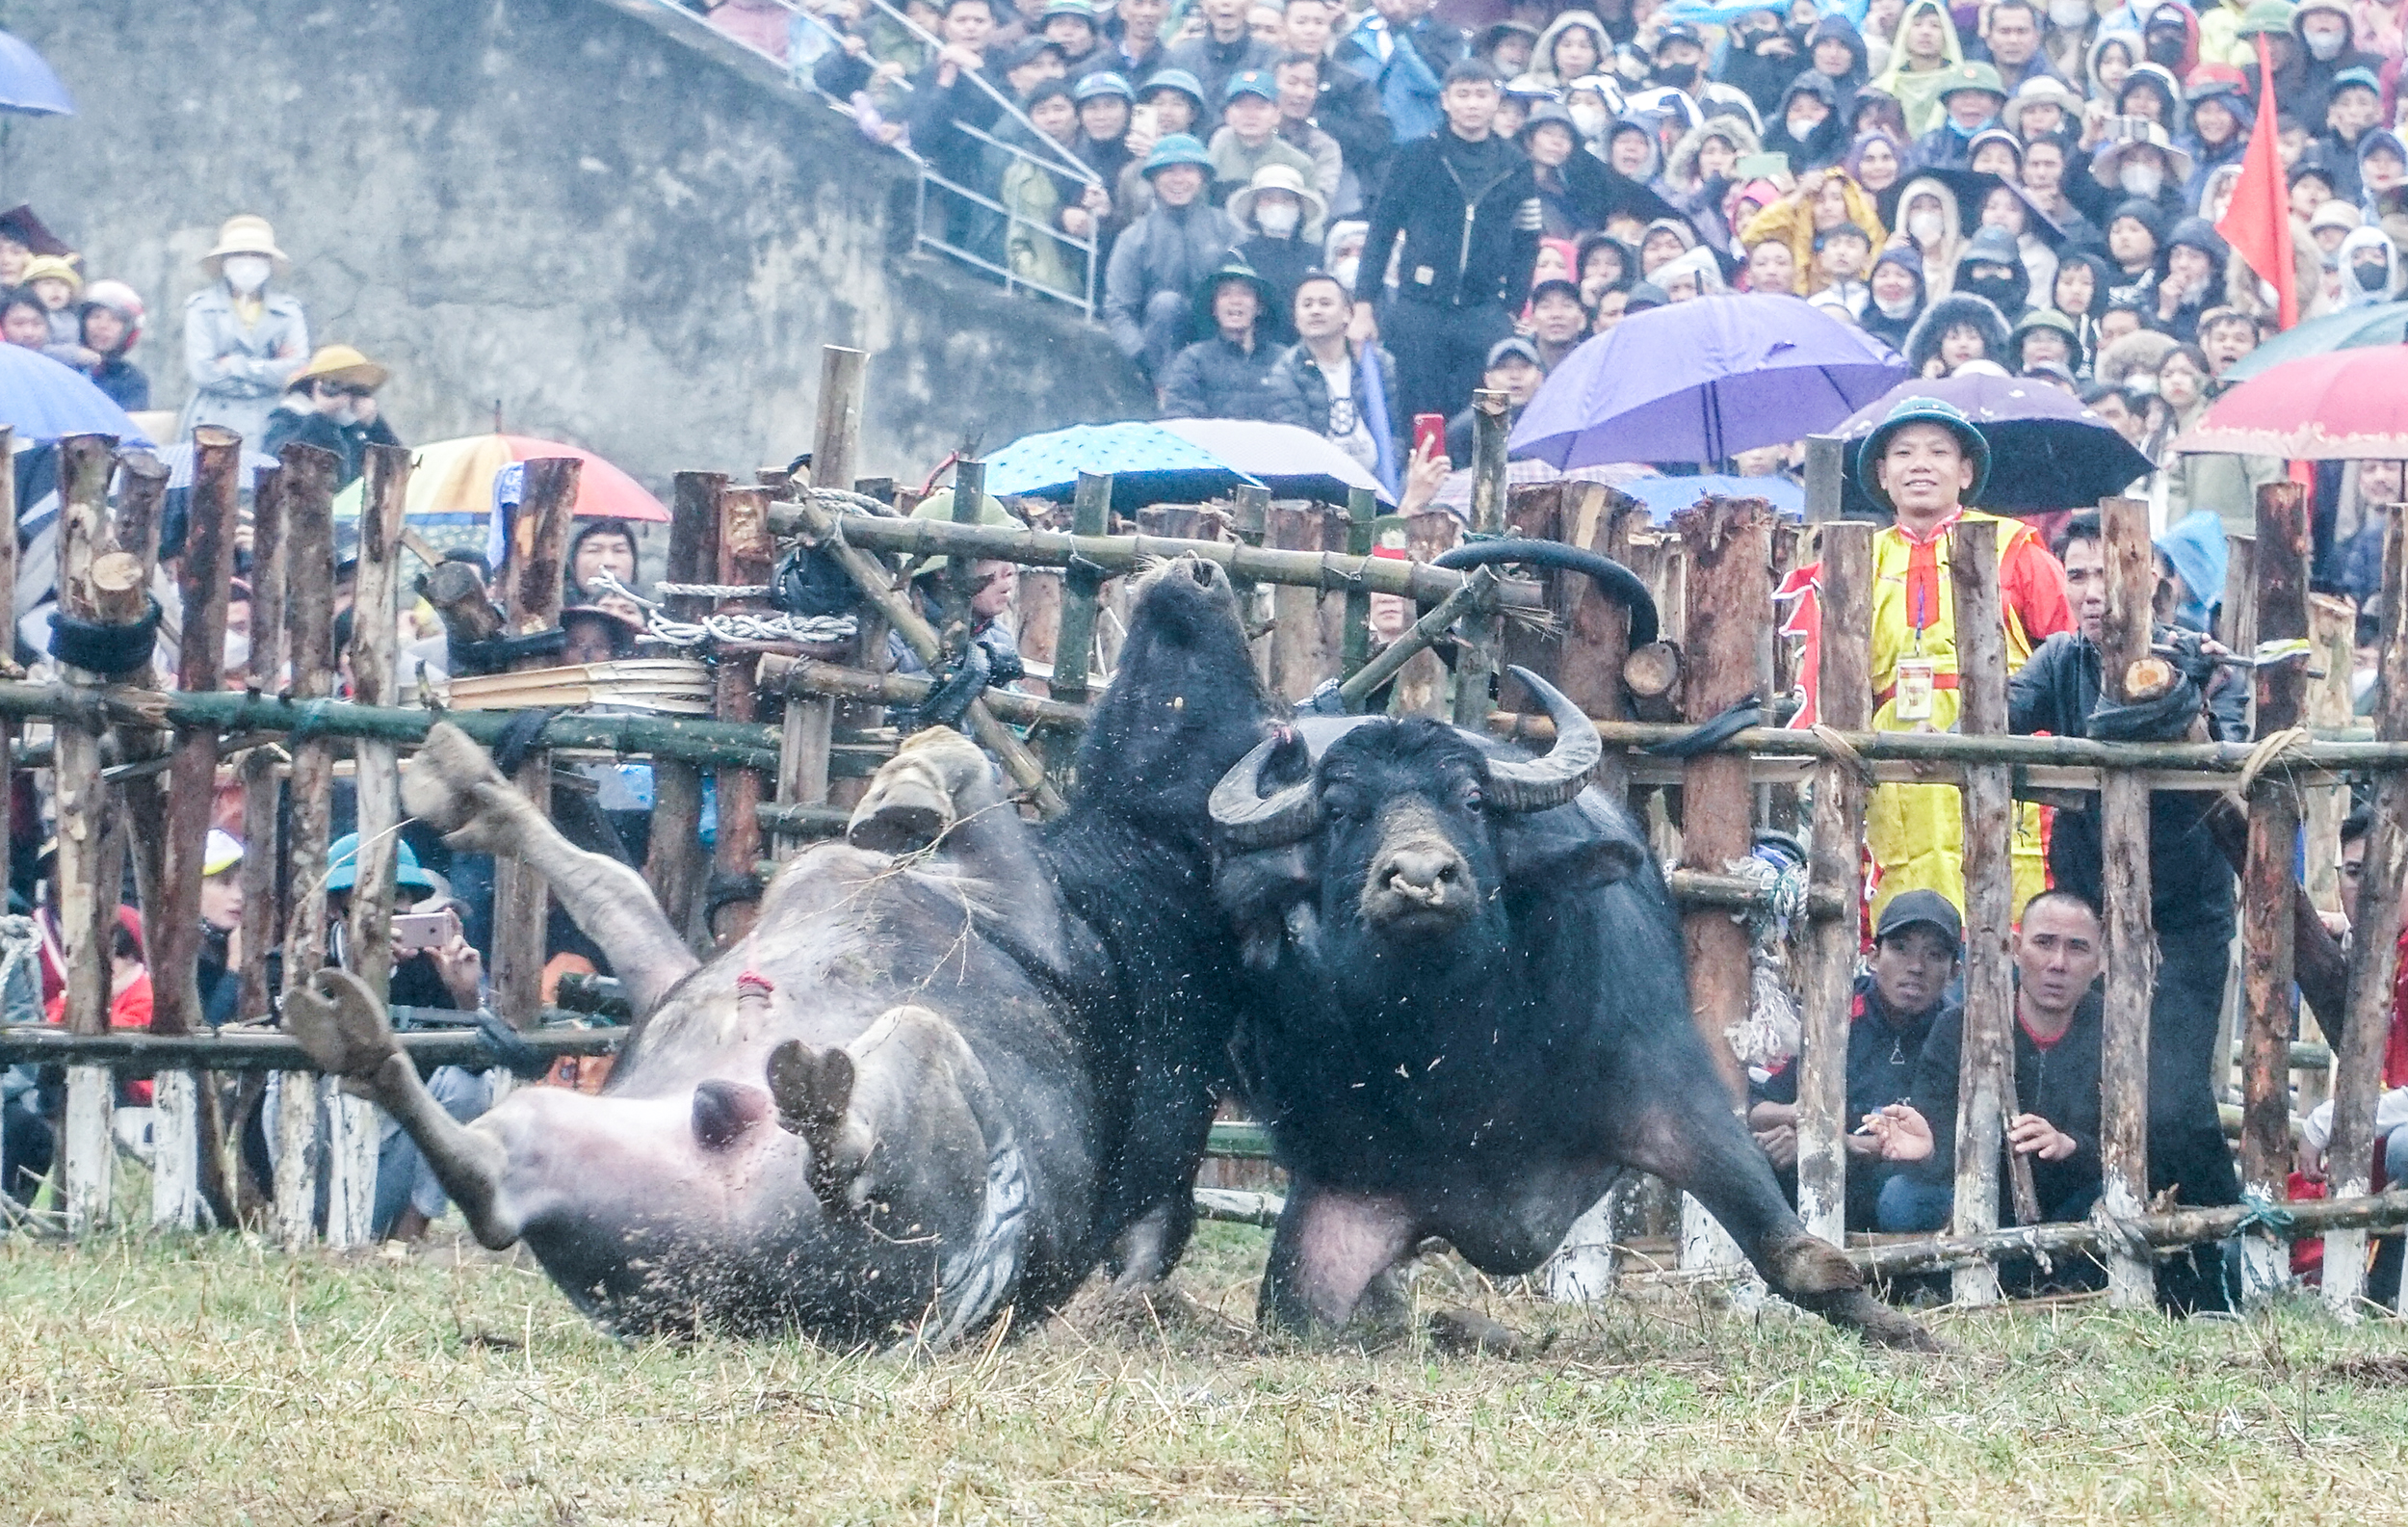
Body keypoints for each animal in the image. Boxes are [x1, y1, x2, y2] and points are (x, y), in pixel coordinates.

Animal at [289, 554, 1271, 1339]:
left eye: (1263, 717)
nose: (1201, 570)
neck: (1138, 871)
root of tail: (753, 1294)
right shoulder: (674, 969)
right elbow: (608, 881)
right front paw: (463, 779)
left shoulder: (1033, 905)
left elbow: (960, 756)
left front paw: (903, 792)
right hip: (576, 1152)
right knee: (493, 1192)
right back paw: (357, 1039)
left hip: (916, 1062)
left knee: (855, 1157)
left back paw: (826, 1107)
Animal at [1214, 665, 1926, 1339]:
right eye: (1339, 812)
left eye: (1472, 800)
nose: (1418, 877)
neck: (1460, 1053)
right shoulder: (1346, 1187)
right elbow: (1291, 1309)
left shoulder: (1670, 1094)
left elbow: (1799, 1257)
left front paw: (1907, 1334)